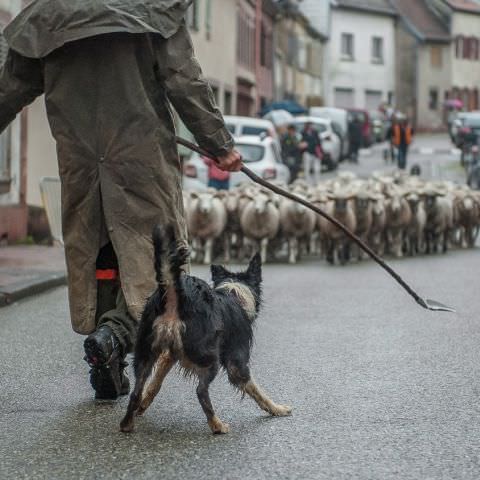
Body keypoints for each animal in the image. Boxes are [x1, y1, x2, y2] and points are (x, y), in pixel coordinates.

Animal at [120, 226, 292, 436]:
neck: (233, 293)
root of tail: (176, 293)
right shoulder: (236, 362)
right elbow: (258, 391)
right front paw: (277, 409)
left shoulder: (170, 354)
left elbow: (155, 383)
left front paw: (144, 405)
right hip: (210, 358)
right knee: (201, 392)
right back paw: (217, 425)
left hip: (145, 352)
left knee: (136, 391)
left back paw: (127, 423)